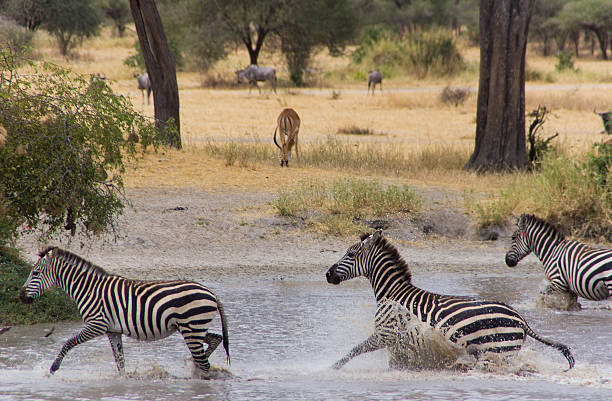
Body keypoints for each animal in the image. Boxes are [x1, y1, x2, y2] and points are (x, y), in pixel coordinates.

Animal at [20, 245, 230, 376]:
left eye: (35, 273)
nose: (21, 296)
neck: (88, 289)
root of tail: (211, 292)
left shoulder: (96, 324)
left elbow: (68, 343)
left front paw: (53, 368)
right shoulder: (112, 330)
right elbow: (120, 361)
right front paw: (123, 381)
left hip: (191, 327)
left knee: (205, 363)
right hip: (191, 328)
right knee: (214, 341)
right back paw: (194, 367)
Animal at [326, 230, 572, 370]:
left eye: (350, 254)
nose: (328, 275)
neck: (393, 293)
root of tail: (521, 319)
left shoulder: (386, 334)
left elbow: (354, 351)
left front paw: (330, 368)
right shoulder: (399, 342)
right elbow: (395, 364)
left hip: (499, 349)